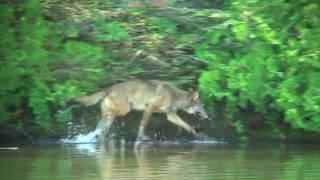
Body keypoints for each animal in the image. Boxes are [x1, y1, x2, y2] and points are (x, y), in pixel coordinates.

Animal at [72, 79, 208, 147]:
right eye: (202, 106)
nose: (207, 116)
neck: (174, 96)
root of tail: (107, 89)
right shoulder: (149, 108)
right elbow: (143, 125)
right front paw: (140, 140)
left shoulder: (171, 116)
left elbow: (188, 126)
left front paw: (198, 136)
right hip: (124, 110)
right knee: (103, 126)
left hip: (112, 116)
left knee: (100, 131)